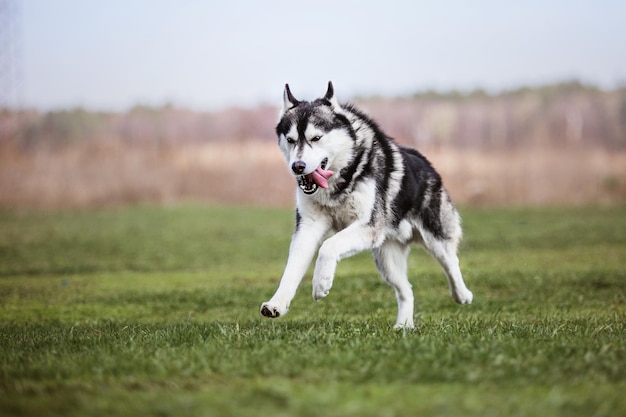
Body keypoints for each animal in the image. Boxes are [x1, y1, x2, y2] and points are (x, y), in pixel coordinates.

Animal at [256, 82, 470, 328]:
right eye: (290, 140)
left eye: (316, 138)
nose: (297, 166)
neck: (338, 182)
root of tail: (428, 164)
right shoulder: (308, 228)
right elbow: (291, 270)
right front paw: (277, 304)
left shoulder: (368, 226)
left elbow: (328, 246)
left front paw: (321, 284)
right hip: (387, 260)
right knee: (406, 290)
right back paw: (403, 326)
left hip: (435, 238)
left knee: (451, 262)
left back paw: (462, 295)